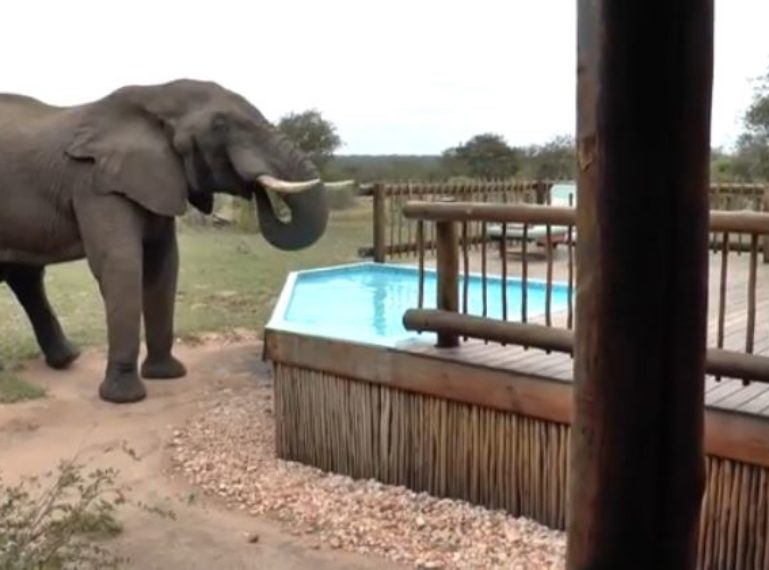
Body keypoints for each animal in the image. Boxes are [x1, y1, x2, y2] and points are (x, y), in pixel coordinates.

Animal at [0, 79, 336, 404]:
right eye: (220, 125)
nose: (255, 187)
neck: (154, 95)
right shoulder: (95, 183)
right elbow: (120, 263)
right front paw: (124, 398)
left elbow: (163, 264)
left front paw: (167, 374)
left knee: (25, 278)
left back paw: (66, 359)